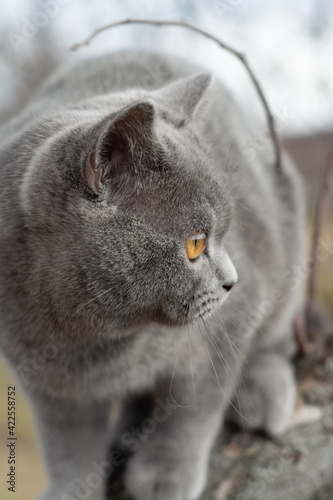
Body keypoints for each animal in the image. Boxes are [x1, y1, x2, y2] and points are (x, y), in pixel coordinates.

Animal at [0, 51, 304, 500]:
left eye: (225, 234)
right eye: (195, 244)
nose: (232, 281)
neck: (86, 339)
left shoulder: (228, 324)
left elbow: (192, 409)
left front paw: (165, 475)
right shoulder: (49, 389)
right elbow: (68, 447)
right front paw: (73, 488)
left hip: (285, 228)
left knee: (274, 334)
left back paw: (261, 396)